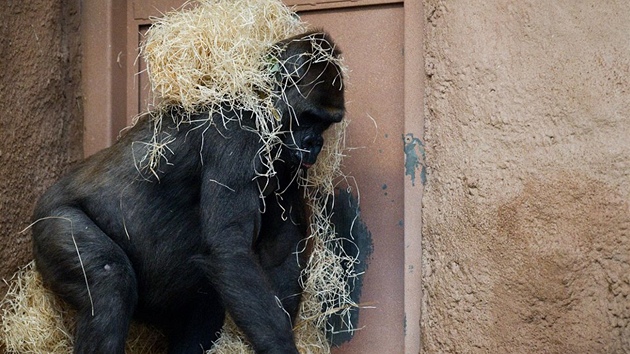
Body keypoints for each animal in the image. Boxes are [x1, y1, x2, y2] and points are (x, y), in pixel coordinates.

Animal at [30, 31, 346, 352]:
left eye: (326, 123)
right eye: (311, 117)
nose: (316, 144)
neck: (259, 102)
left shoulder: (287, 161)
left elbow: (280, 247)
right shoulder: (238, 134)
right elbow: (230, 247)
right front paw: (279, 346)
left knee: (203, 306)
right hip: (50, 221)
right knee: (109, 282)